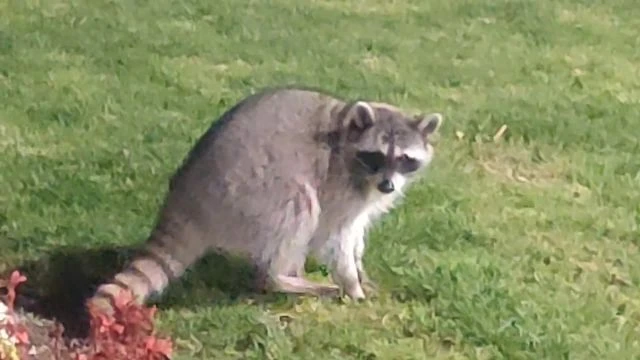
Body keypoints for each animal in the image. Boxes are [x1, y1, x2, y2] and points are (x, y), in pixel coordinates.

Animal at [87, 86, 442, 312]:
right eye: (376, 156)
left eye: (405, 159)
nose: (388, 187)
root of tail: (189, 197)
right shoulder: (338, 182)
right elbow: (334, 236)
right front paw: (352, 283)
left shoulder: (366, 195)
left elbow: (355, 232)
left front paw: (360, 268)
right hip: (251, 191)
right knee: (299, 206)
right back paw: (281, 278)